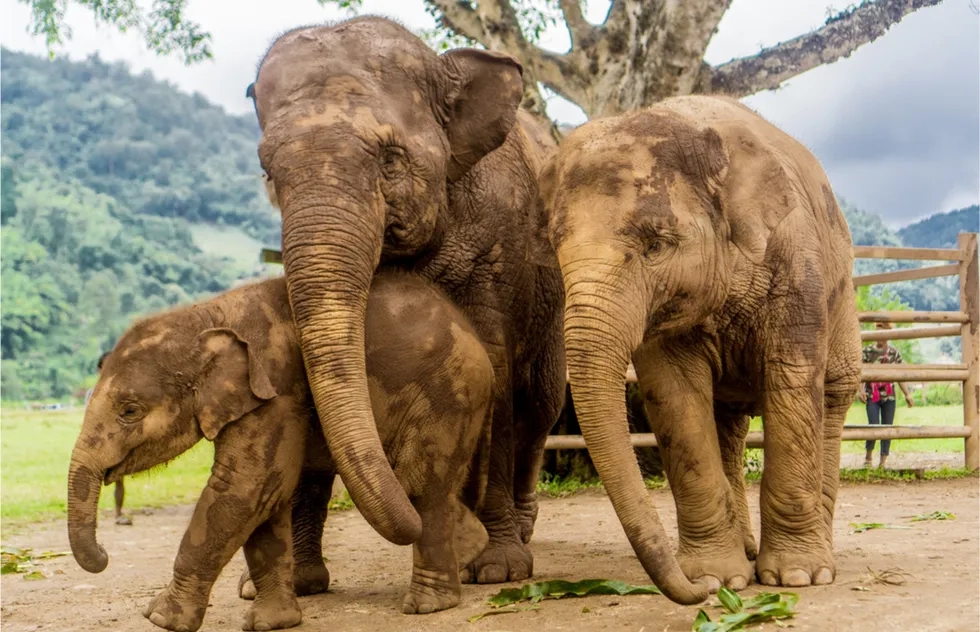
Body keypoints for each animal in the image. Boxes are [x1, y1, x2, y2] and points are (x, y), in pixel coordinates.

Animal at [67, 272, 495, 632]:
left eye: (129, 411)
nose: (104, 552)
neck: (205, 314)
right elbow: (265, 497)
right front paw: (273, 623)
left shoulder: (276, 390)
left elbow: (244, 488)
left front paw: (160, 618)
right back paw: (471, 546)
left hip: (447, 394)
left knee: (421, 484)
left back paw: (429, 603)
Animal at [247, 16, 566, 584]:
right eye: (267, 172)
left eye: (390, 159)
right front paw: (296, 583)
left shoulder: (498, 243)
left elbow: (494, 368)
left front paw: (498, 569)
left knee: (540, 406)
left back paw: (520, 530)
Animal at [530, 95, 862, 599]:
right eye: (554, 247)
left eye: (656, 245)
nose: (695, 593)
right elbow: (676, 398)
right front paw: (716, 579)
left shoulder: (796, 264)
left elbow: (792, 383)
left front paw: (795, 578)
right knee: (727, 425)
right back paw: (746, 554)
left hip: (843, 302)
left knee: (832, 400)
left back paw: (819, 561)